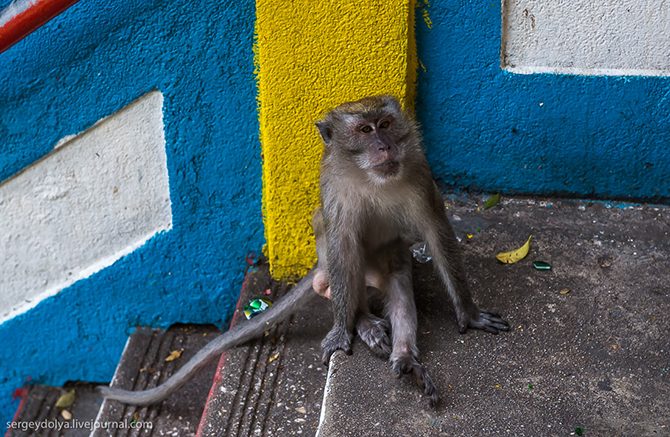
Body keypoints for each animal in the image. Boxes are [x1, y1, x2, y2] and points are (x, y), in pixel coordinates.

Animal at [98, 94, 510, 406]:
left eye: (386, 124)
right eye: (365, 130)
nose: (385, 146)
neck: (371, 179)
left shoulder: (419, 175)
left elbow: (437, 235)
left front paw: (468, 313)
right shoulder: (335, 189)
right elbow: (341, 242)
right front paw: (343, 330)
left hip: (388, 269)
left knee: (398, 284)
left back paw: (405, 358)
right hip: (335, 267)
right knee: (338, 263)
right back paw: (360, 318)